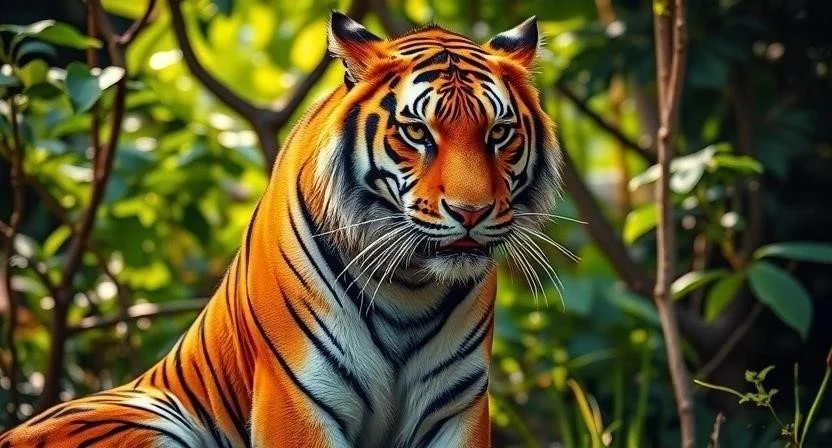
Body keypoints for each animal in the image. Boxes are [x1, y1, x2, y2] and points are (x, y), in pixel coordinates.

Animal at [1, 11, 560, 448]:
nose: (471, 212)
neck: (411, 286)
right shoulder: (299, 398)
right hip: (147, 418)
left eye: (499, 133)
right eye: (417, 132)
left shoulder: (456, 406)